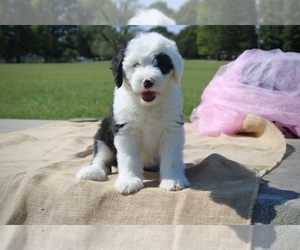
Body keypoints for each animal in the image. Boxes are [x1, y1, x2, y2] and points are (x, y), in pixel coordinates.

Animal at [76, 31, 191, 194]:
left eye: (161, 64)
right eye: (136, 64)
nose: (147, 81)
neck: (148, 106)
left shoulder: (172, 129)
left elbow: (172, 156)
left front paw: (173, 180)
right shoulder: (125, 129)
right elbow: (128, 157)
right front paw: (129, 181)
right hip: (103, 133)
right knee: (101, 155)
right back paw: (93, 172)